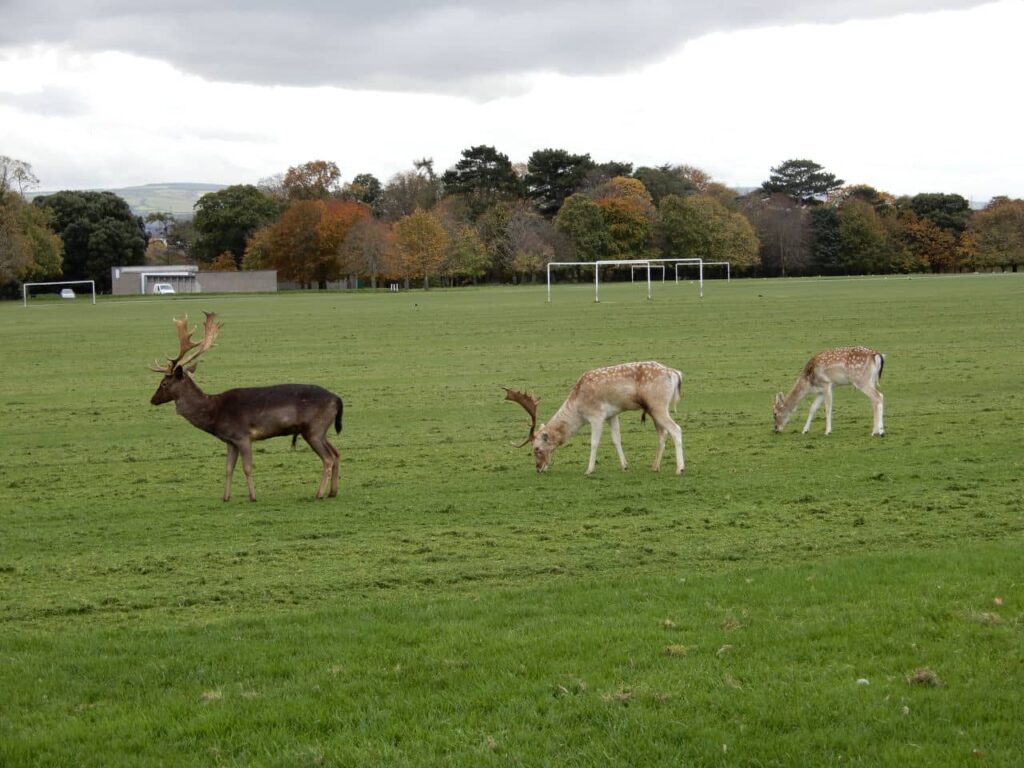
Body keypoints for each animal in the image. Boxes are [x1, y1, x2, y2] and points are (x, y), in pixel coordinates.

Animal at [148, 313, 346, 505]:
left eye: (163, 383)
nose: (152, 399)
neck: (214, 414)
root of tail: (337, 399)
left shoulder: (243, 436)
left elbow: (247, 468)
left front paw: (253, 497)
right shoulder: (230, 441)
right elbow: (228, 469)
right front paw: (225, 497)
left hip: (314, 429)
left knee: (328, 458)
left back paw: (319, 494)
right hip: (320, 430)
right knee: (336, 453)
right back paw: (333, 492)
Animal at [505, 360, 688, 475]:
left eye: (536, 449)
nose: (538, 468)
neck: (578, 406)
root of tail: (674, 373)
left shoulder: (596, 415)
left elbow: (594, 442)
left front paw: (589, 470)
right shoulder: (612, 415)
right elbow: (616, 439)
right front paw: (625, 466)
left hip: (658, 405)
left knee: (676, 429)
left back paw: (679, 469)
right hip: (654, 408)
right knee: (662, 433)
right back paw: (655, 467)